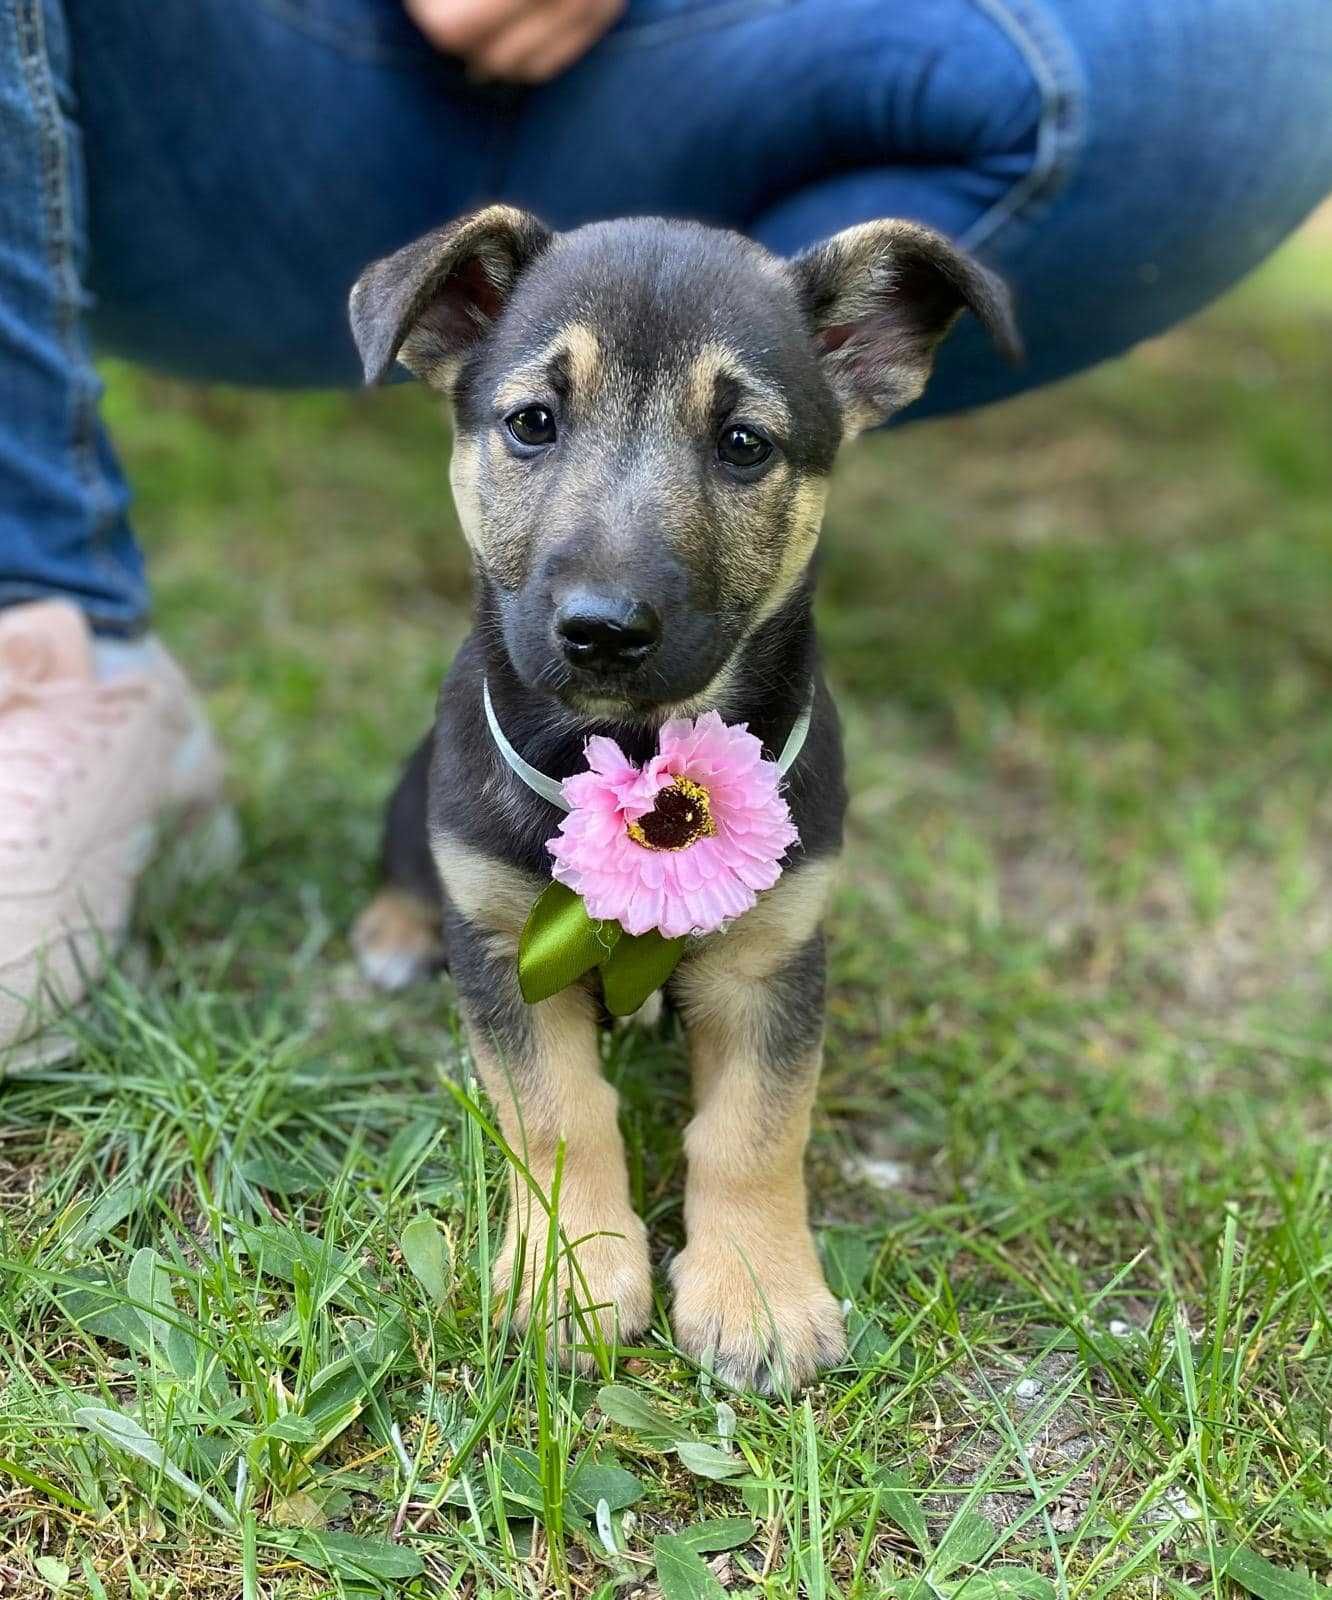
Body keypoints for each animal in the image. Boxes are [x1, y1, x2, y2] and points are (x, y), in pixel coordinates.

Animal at [345, 209, 1018, 1388]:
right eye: (532, 423)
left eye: (744, 443)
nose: (603, 631)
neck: (633, 753)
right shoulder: (505, 949)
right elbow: (558, 1116)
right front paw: (571, 1274)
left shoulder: (773, 958)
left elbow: (754, 1130)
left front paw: (755, 1297)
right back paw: (391, 930)